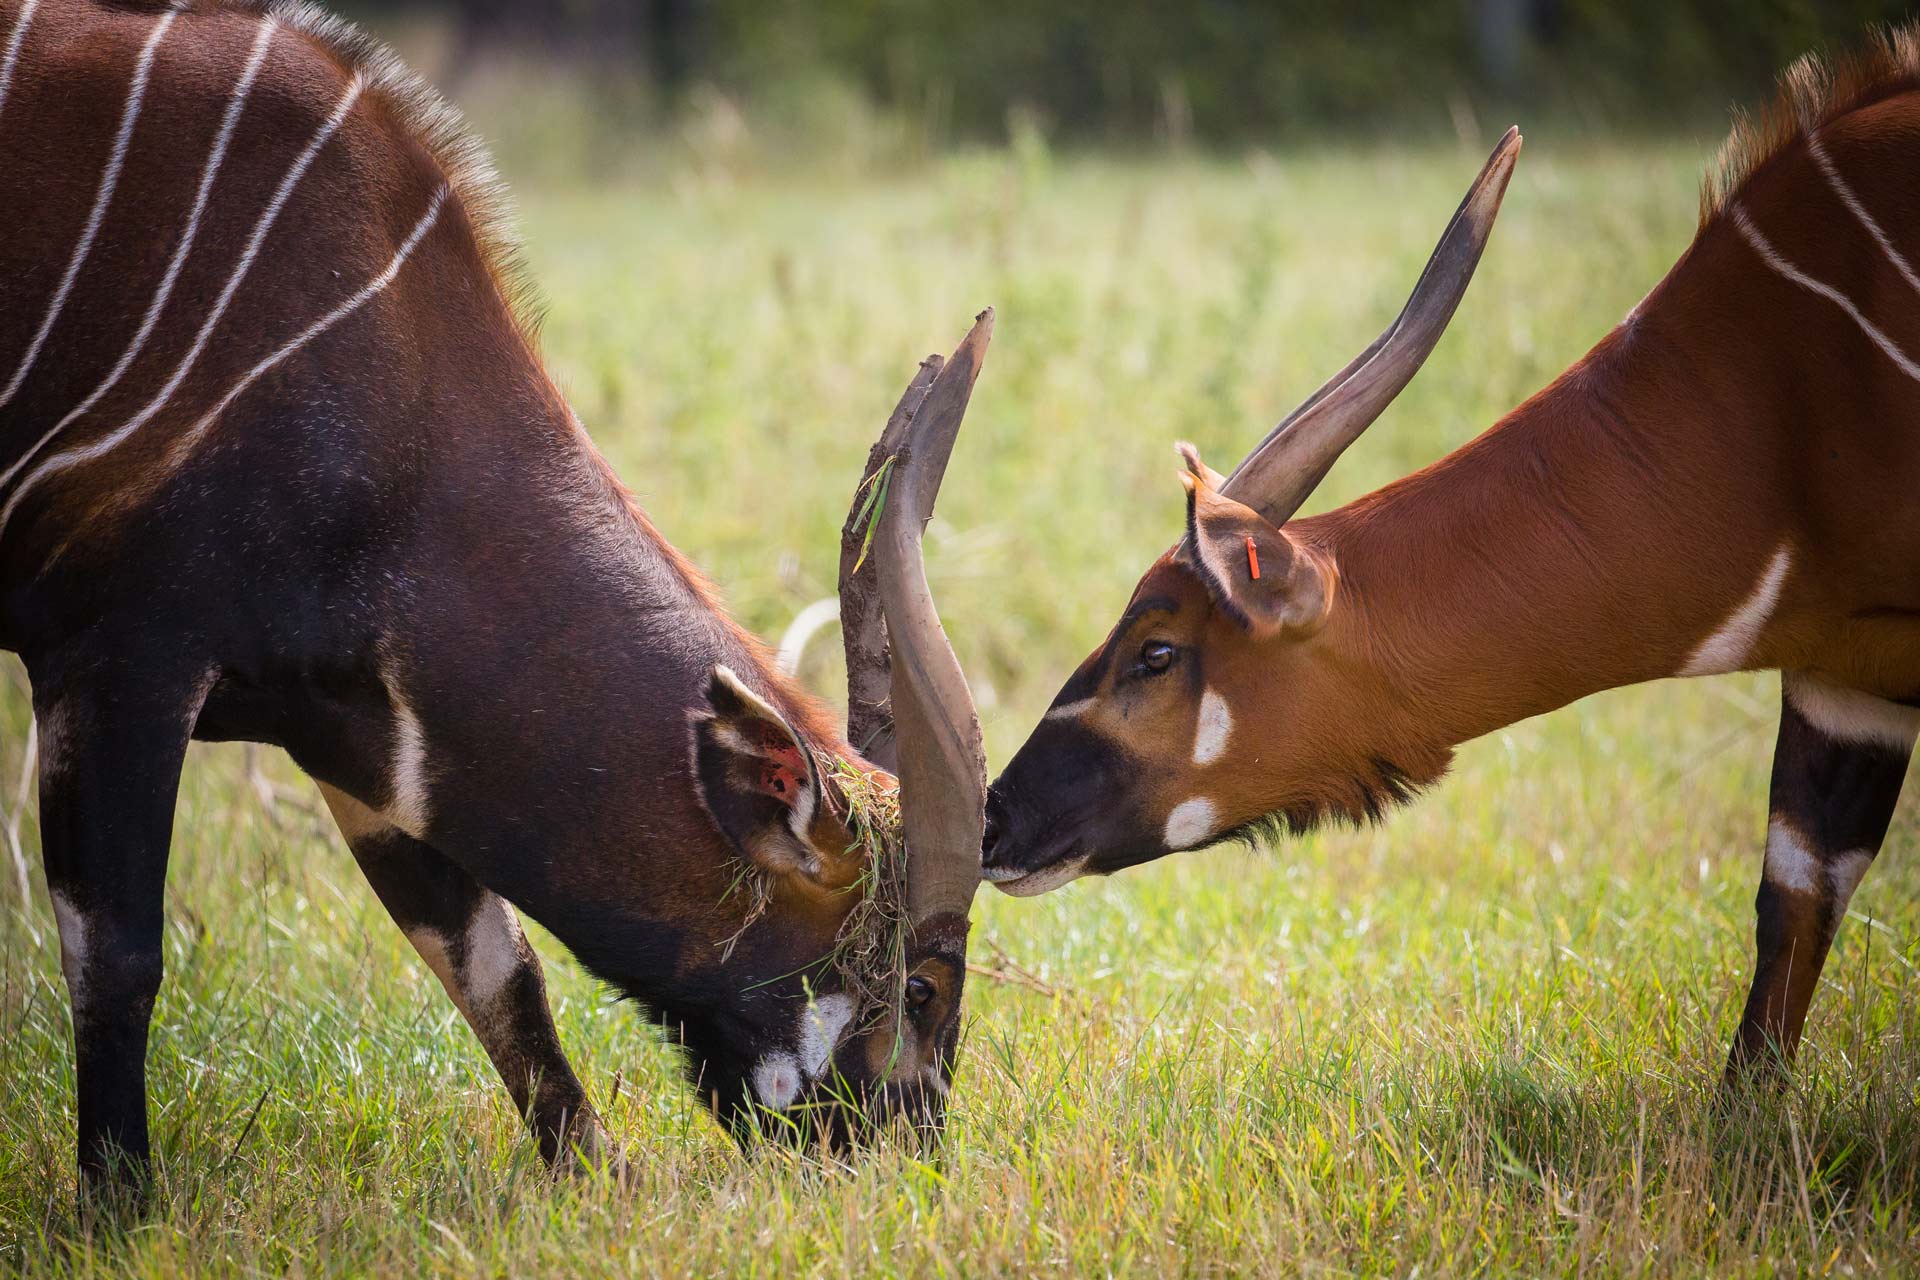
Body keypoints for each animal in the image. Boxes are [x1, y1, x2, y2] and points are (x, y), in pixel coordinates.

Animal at [0, 2, 990, 1205]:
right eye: (924, 988)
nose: (911, 1158)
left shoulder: (354, 732)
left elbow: (489, 958)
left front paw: (594, 1176)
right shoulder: (120, 658)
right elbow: (115, 953)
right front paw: (119, 1210)